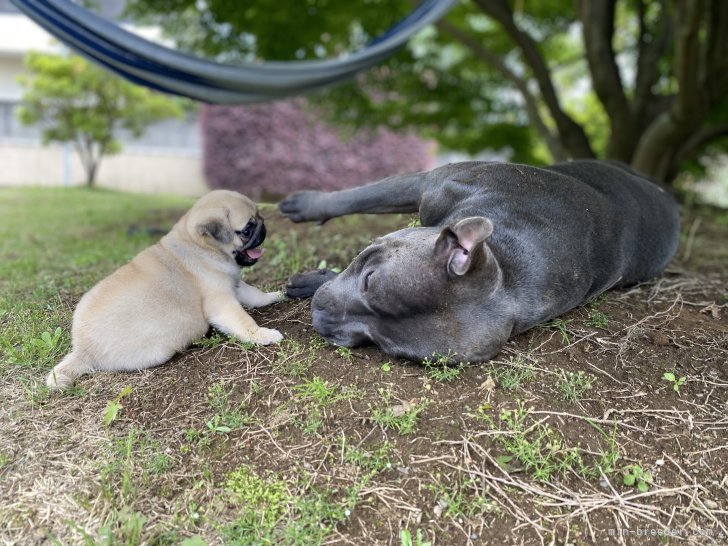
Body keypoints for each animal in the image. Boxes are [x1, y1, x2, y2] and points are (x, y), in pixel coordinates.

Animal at [280, 159, 684, 362]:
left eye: (379, 342)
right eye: (369, 279)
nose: (321, 317)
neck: (507, 271)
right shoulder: (427, 181)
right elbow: (359, 195)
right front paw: (308, 206)